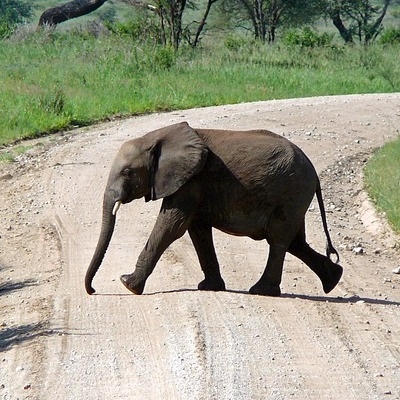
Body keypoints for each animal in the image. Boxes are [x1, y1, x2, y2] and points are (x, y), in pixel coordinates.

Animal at [86, 122, 342, 296]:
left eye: (127, 172)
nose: (93, 290)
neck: (156, 137)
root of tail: (314, 172)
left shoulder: (191, 180)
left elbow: (171, 226)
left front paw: (127, 284)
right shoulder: (194, 184)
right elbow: (197, 231)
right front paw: (210, 288)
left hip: (292, 192)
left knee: (278, 240)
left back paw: (261, 291)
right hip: (294, 197)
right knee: (295, 242)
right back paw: (333, 280)